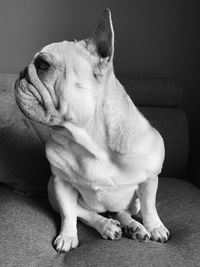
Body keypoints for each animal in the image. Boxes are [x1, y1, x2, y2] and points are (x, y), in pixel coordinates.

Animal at [14, 8, 170, 253]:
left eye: (43, 66)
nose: (21, 72)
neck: (91, 140)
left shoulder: (150, 179)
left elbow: (150, 206)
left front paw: (155, 227)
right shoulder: (61, 184)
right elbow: (69, 215)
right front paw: (68, 236)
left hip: (131, 201)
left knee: (124, 211)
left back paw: (134, 227)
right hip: (51, 189)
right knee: (87, 214)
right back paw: (107, 226)